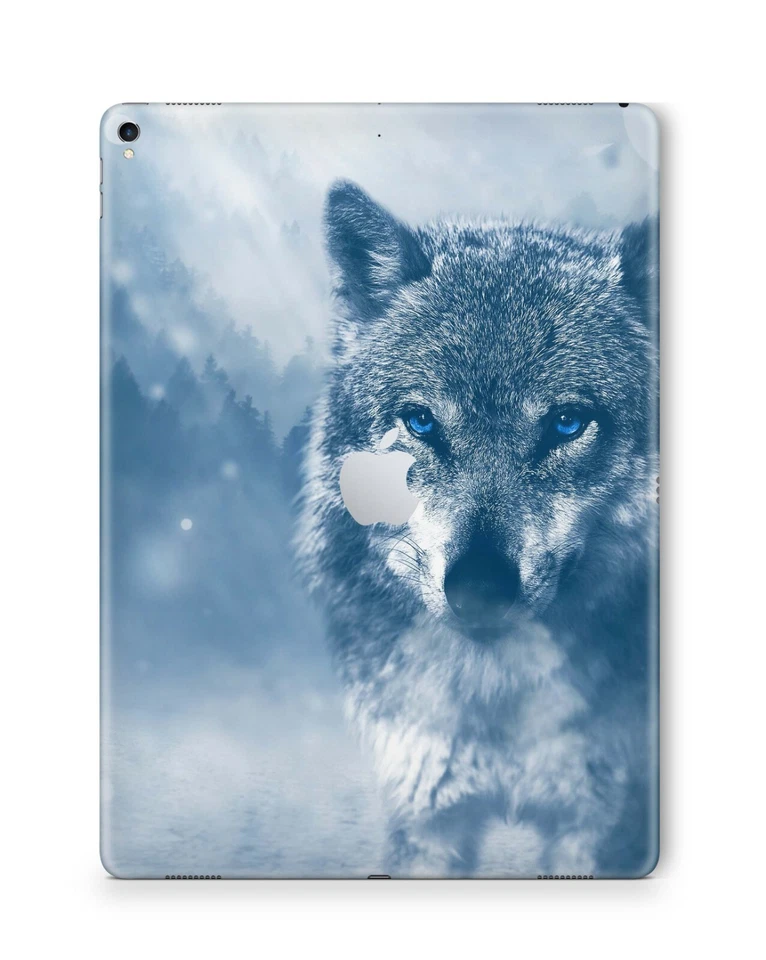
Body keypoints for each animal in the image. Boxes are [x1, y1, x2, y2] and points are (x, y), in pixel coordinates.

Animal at [298, 180, 659, 878]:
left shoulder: (599, 827)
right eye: (421, 421)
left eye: (568, 423)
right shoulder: (426, 817)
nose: (481, 589)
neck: (498, 704)